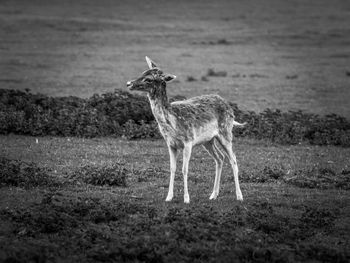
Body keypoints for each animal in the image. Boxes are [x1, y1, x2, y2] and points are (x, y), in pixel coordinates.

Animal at [126, 57, 246, 204]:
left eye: (148, 79)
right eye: (143, 72)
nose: (129, 83)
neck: (172, 123)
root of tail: (229, 107)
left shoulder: (188, 141)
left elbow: (184, 169)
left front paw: (186, 198)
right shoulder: (170, 144)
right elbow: (172, 168)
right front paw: (168, 197)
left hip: (226, 132)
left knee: (233, 159)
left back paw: (239, 196)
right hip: (208, 141)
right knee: (220, 158)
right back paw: (213, 194)